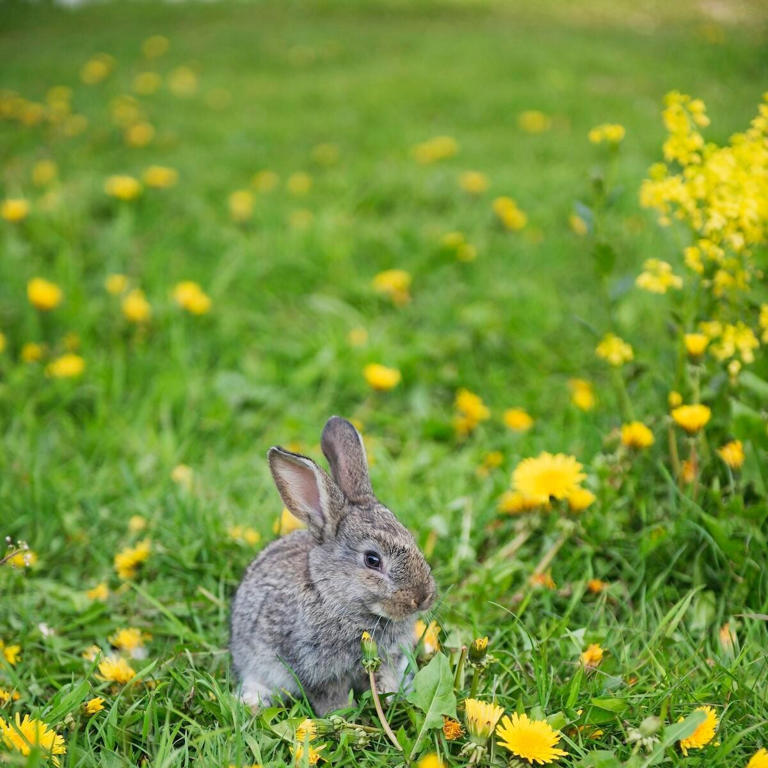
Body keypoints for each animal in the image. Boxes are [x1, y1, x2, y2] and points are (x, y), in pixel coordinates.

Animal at [229, 416, 436, 715]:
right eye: (372, 560)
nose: (423, 598)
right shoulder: (314, 669)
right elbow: (330, 696)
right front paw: (342, 715)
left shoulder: (388, 658)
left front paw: (390, 698)